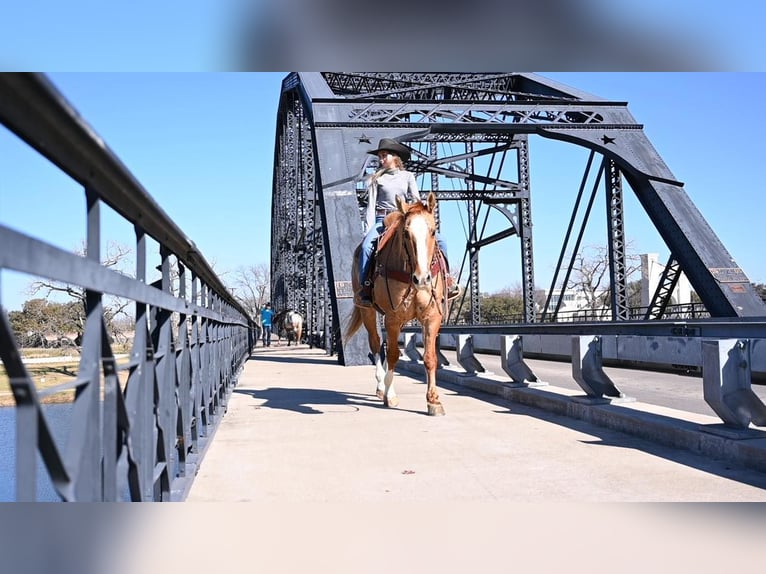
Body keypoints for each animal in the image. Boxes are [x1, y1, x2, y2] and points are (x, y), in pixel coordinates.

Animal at [348, 194, 450, 418]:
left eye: (433, 231)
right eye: (406, 233)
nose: (422, 279)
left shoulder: (431, 317)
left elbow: (430, 358)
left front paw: (433, 401)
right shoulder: (393, 316)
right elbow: (393, 353)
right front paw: (390, 394)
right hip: (368, 312)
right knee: (376, 344)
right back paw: (381, 386)